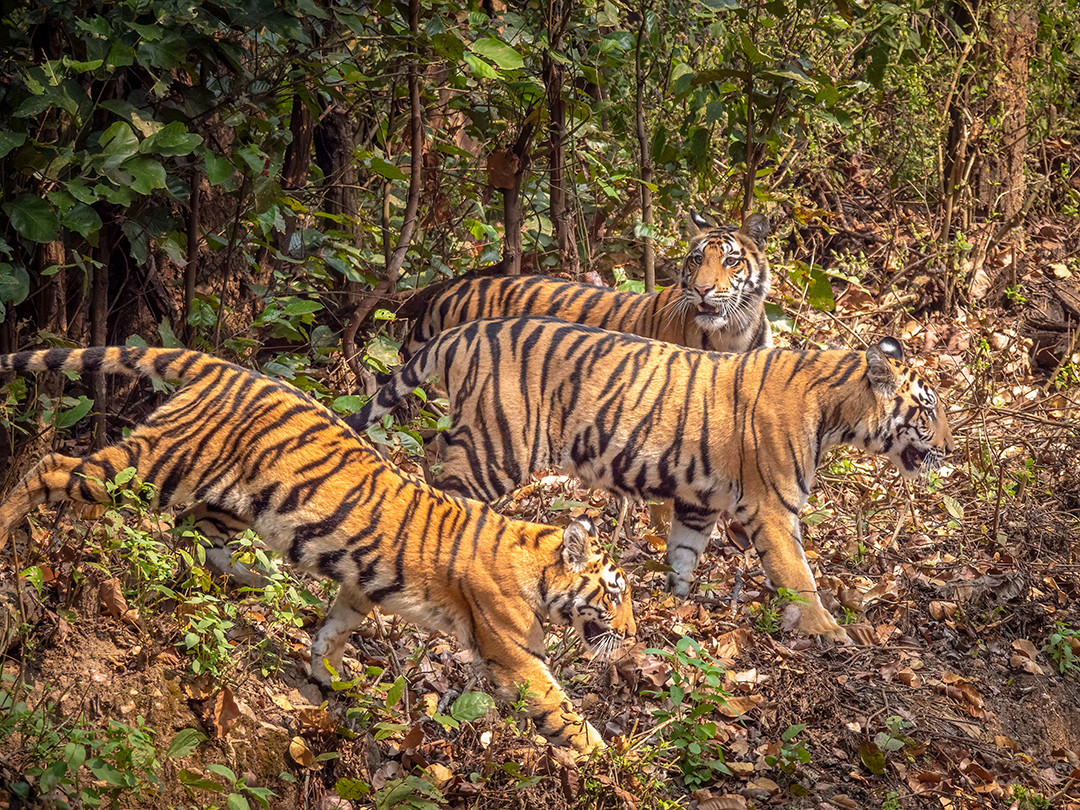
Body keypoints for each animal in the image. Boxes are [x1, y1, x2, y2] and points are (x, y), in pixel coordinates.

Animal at [0, 346, 635, 754]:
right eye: (614, 594)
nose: (630, 636)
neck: (540, 573)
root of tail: (226, 367)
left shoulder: (361, 583)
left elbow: (336, 627)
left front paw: (329, 678)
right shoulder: (514, 655)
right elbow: (560, 709)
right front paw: (608, 760)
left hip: (232, 501)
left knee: (193, 533)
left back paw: (250, 581)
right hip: (156, 465)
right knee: (54, 465)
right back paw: (10, 524)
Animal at [348, 317, 954, 645]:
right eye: (927, 410)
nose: (950, 450)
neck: (837, 414)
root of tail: (467, 328)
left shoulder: (700, 502)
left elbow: (683, 556)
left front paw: (678, 606)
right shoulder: (773, 508)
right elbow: (797, 573)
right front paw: (827, 629)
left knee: (430, 453)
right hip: (497, 445)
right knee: (442, 486)